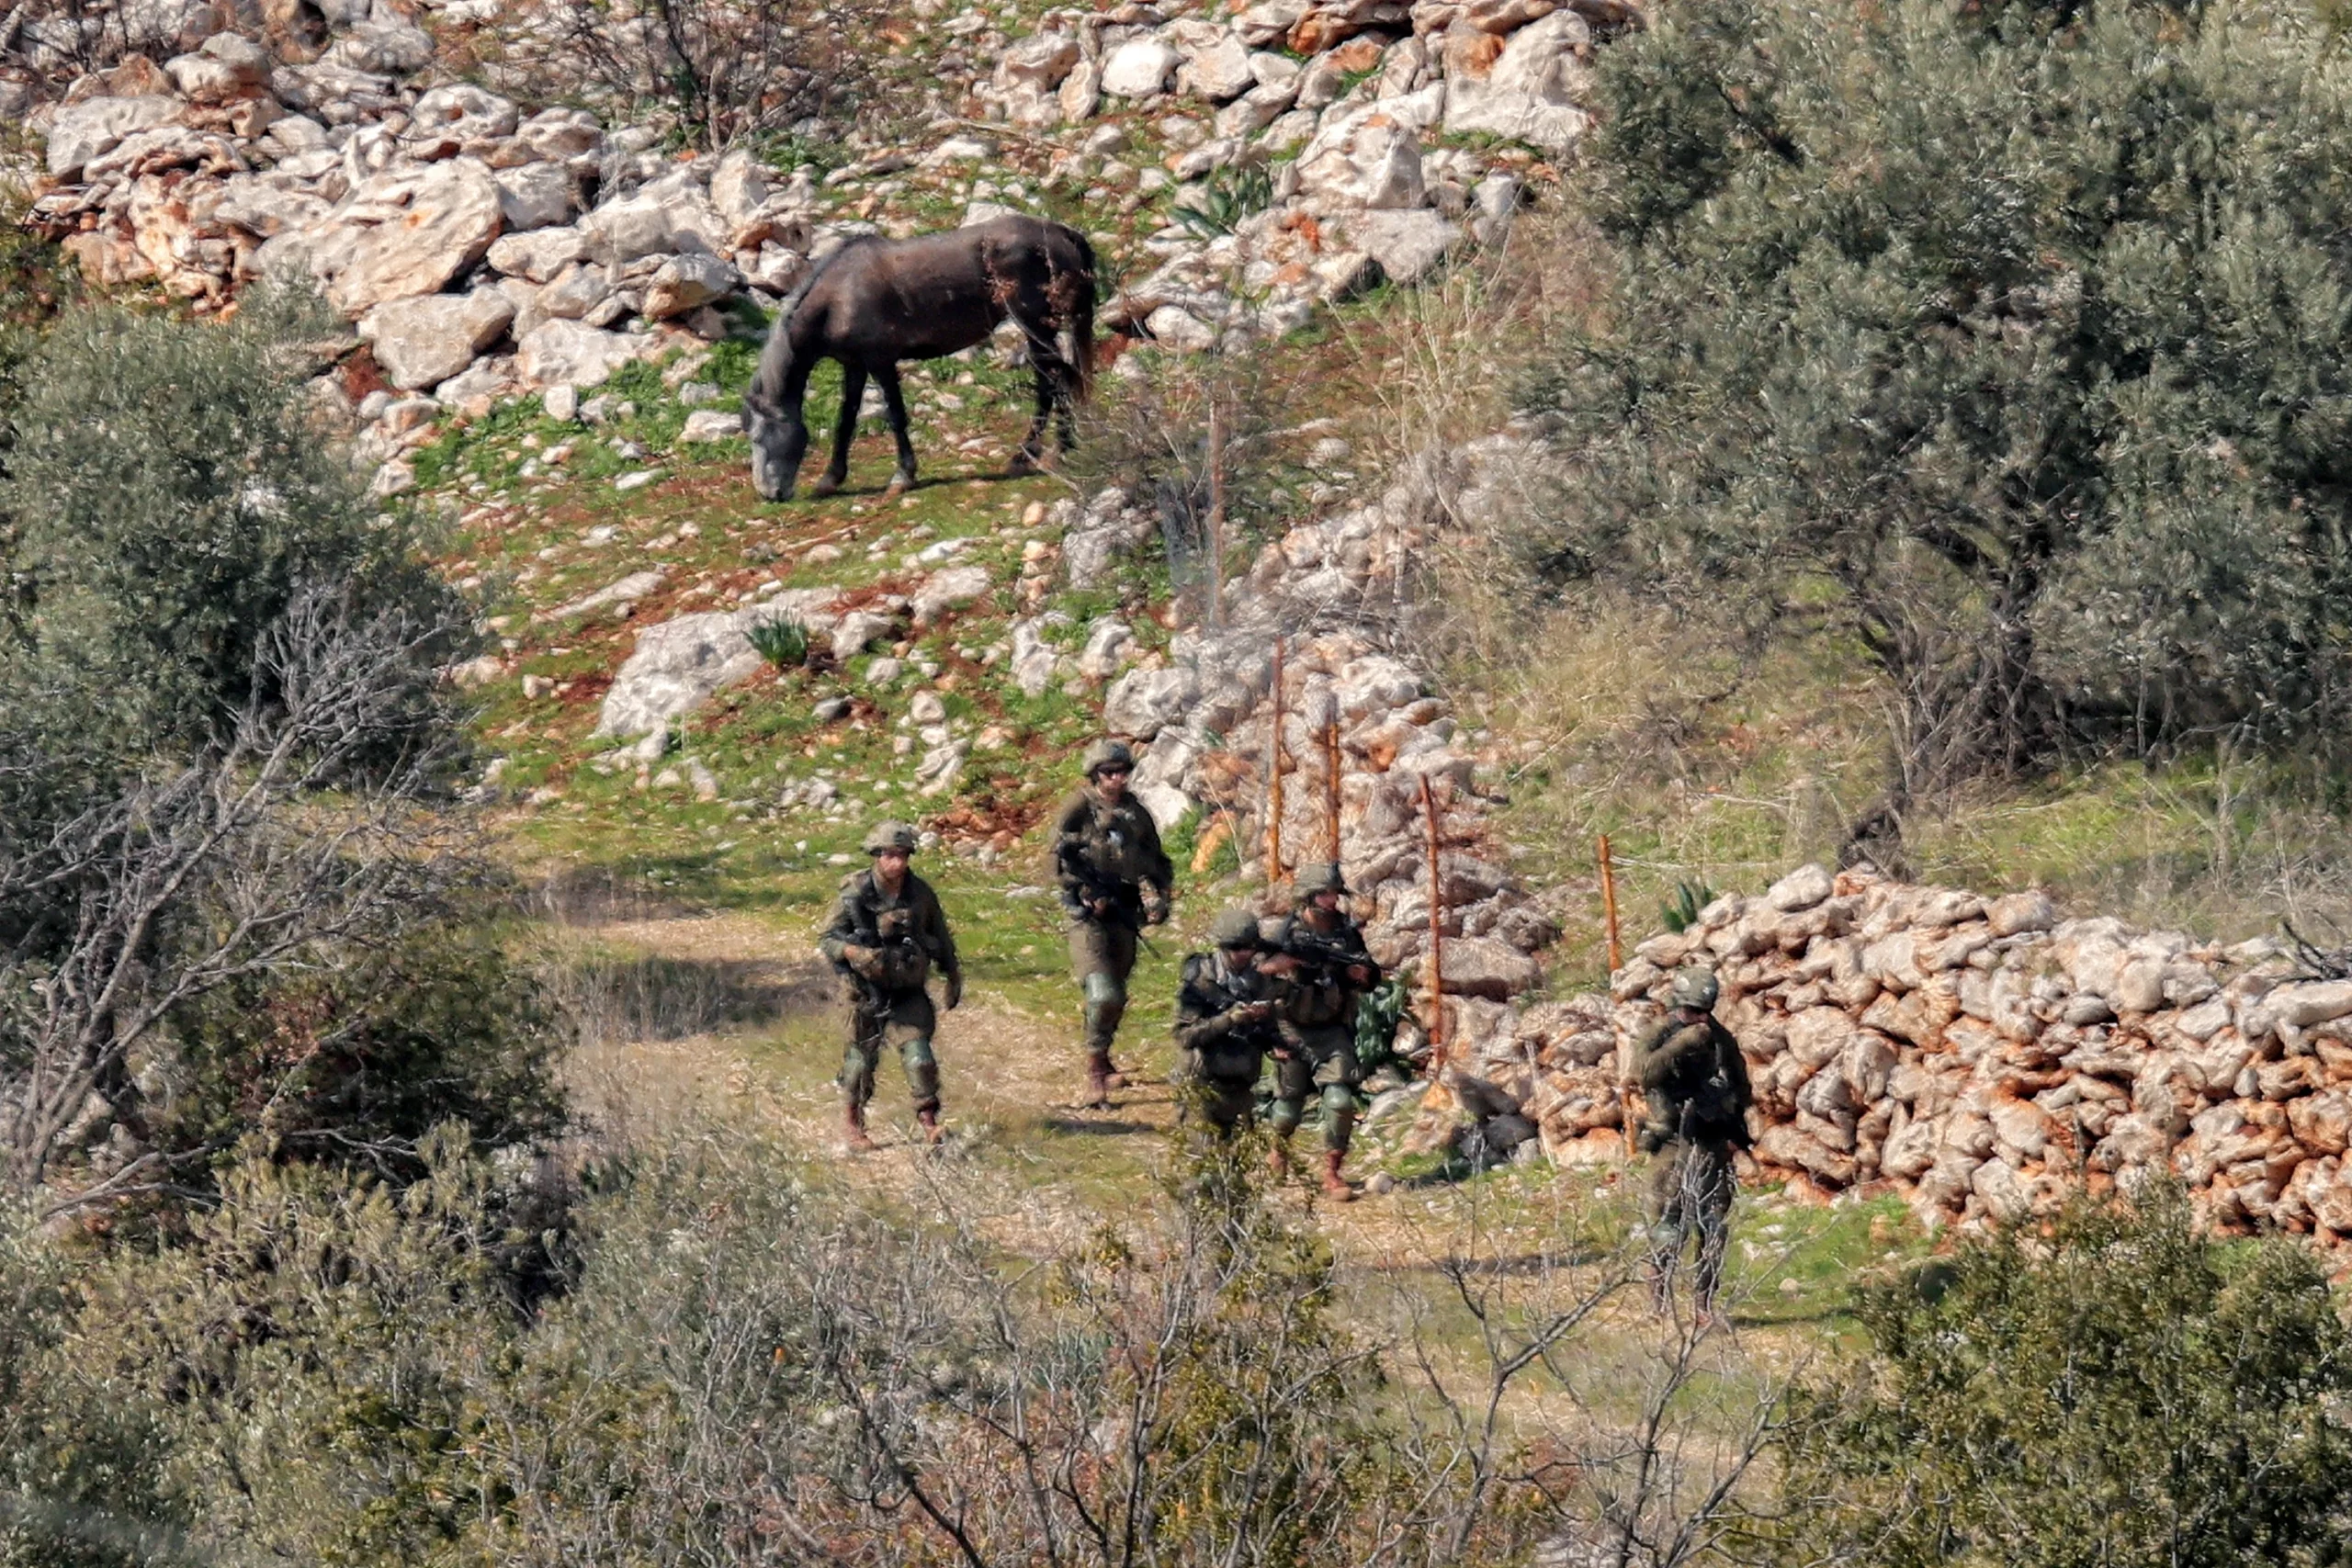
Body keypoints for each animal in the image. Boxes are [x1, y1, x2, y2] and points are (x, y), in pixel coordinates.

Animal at [738, 215, 1095, 502]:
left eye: (758, 437)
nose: (768, 493)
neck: (838, 296)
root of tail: (1060, 231)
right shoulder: (854, 366)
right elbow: (846, 418)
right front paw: (831, 478)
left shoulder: (880, 362)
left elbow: (896, 415)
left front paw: (903, 476)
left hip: (1035, 327)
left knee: (1054, 380)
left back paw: (1040, 453)